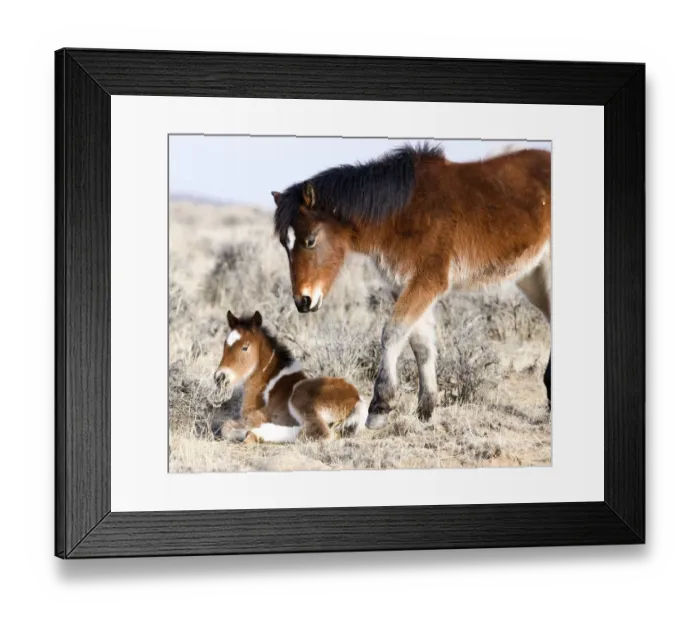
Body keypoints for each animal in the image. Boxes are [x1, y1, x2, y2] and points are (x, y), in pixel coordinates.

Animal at [214, 310, 369, 444]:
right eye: (224, 345)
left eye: (245, 347)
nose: (220, 377)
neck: (267, 383)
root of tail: (357, 399)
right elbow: (227, 428)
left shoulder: (261, 414)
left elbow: (228, 425)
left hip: (300, 395)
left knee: (318, 432)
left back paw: (257, 433)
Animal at [271, 142, 551, 430]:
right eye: (284, 243)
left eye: (310, 240)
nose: (303, 301)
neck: (403, 212)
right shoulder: (406, 284)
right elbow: (421, 345)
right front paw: (426, 409)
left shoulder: (428, 282)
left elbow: (392, 333)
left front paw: (380, 406)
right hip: (532, 276)